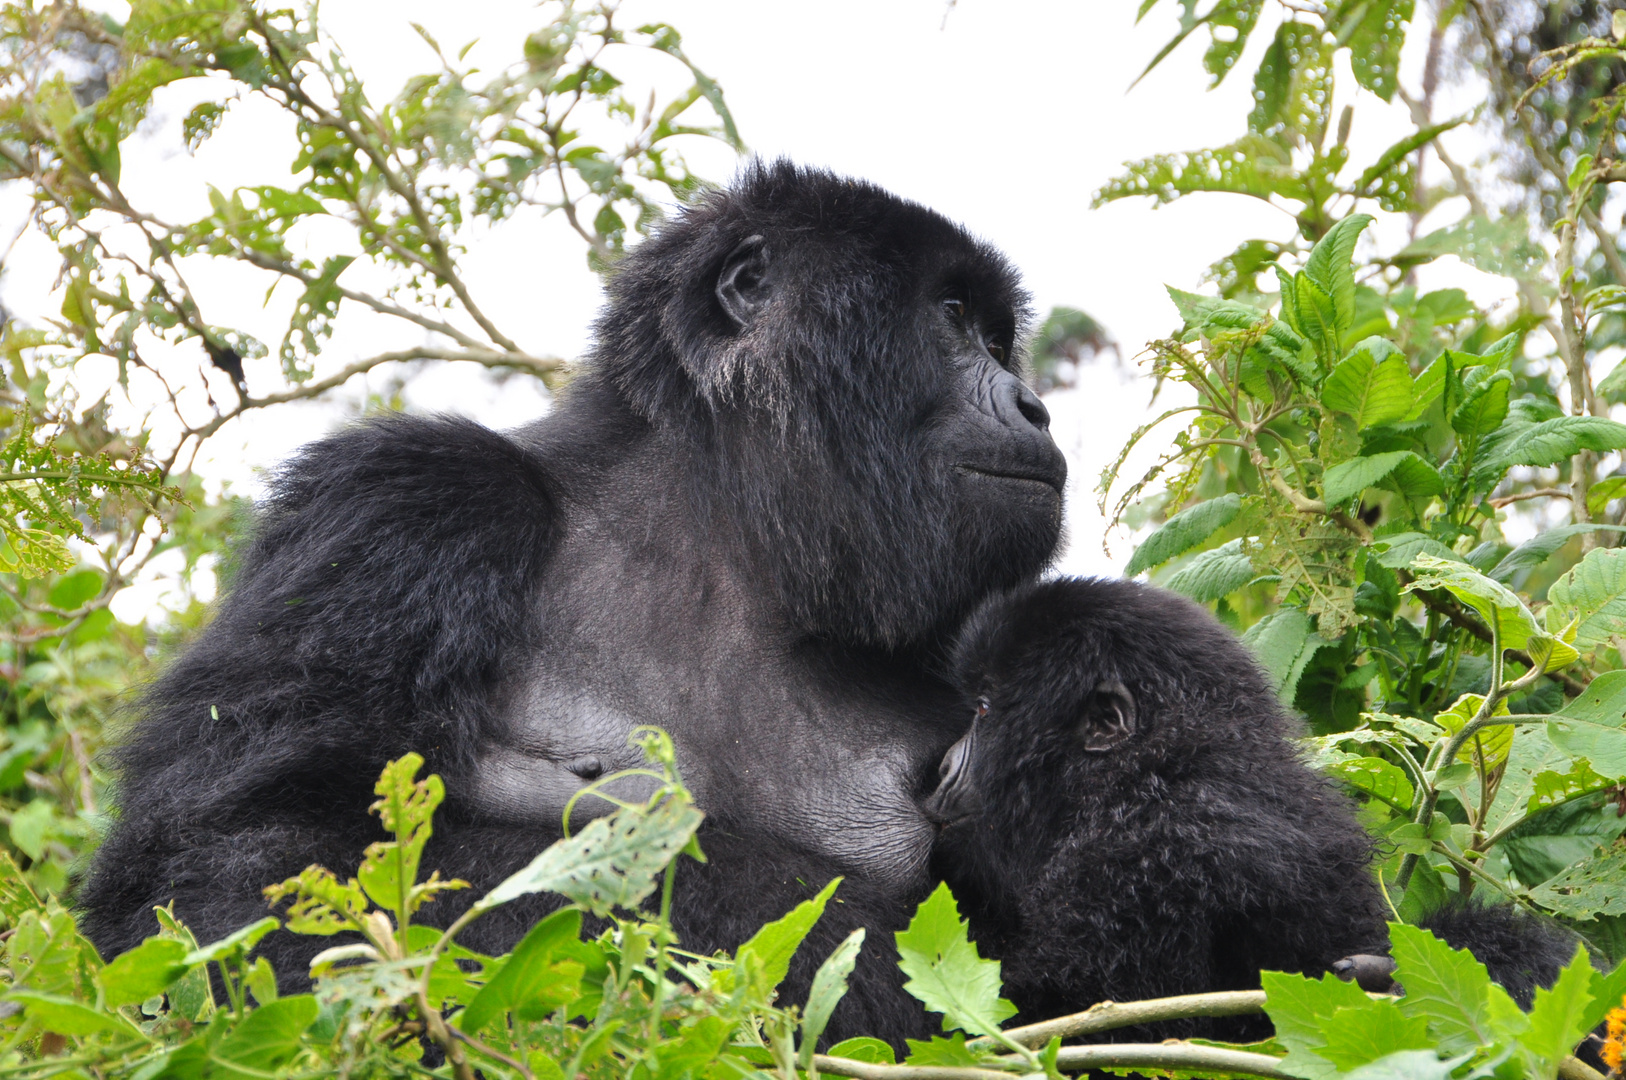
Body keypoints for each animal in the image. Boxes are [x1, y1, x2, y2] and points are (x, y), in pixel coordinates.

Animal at [79, 160, 1066, 1040]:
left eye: (995, 336)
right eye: (951, 318)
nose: (1034, 406)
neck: (722, 537)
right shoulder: (406, 500)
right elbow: (235, 880)